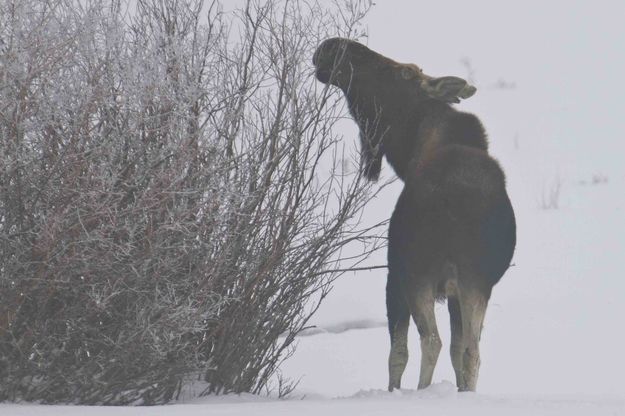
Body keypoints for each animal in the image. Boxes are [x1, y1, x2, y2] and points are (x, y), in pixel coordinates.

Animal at [312, 37, 516, 392]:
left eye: (402, 72)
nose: (332, 46)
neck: (409, 154)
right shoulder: (456, 290)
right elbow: (457, 349)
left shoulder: (395, 272)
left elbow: (397, 351)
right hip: (476, 279)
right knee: (470, 350)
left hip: (415, 271)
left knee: (431, 341)